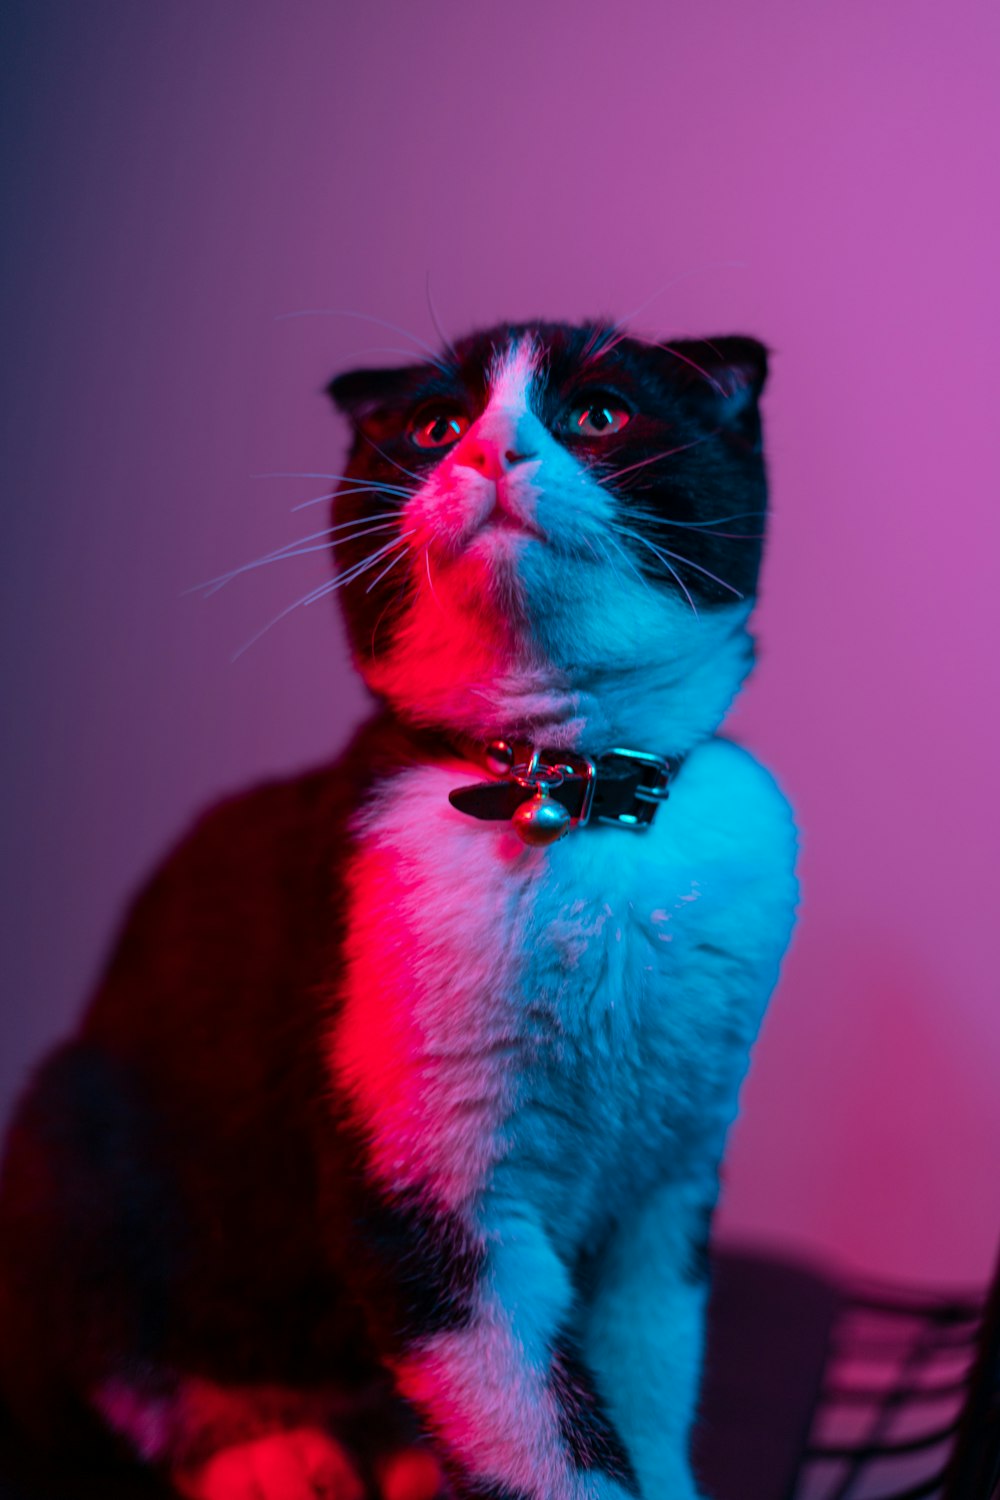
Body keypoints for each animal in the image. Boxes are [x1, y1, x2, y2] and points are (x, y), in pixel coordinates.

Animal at [0, 319, 797, 1500]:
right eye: (433, 426)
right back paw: (272, 1453)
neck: (568, 795)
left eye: (599, 414)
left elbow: (648, 1377)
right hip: (81, 1124)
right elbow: (548, 1439)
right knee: (110, 1349)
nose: (491, 452)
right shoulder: (430, 1198)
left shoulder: (670, 1185)